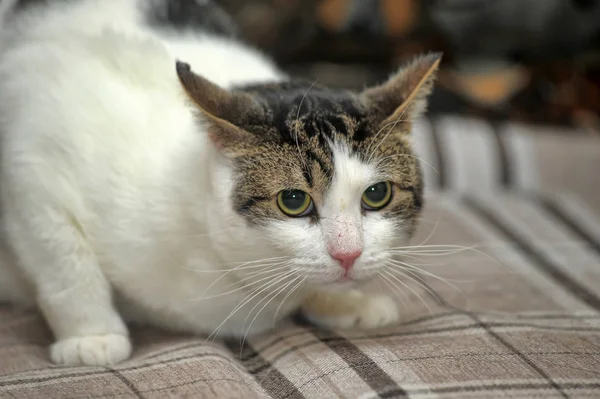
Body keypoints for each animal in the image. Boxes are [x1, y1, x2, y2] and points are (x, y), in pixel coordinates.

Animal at [0, 0, 440, 368]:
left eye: (377, 194)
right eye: (293, 200)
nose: (349, 255)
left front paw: (344, 302)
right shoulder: (31, 158)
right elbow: (64, 260)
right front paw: (92, 336)